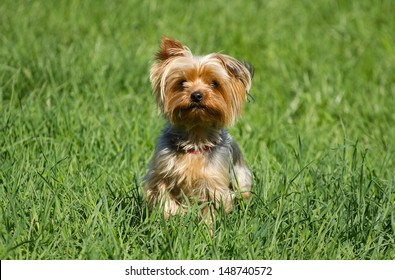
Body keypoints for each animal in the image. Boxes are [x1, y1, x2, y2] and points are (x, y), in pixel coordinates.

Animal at [144, 37, 252, 221]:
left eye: (214, 83)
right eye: (182, 82)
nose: (196, 95)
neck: (196, 136)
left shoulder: (213, 182)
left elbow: (211, 207)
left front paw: (206, 227)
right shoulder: (161, 171)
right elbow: (163, 196)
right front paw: (174, 215)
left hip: (241, 178)